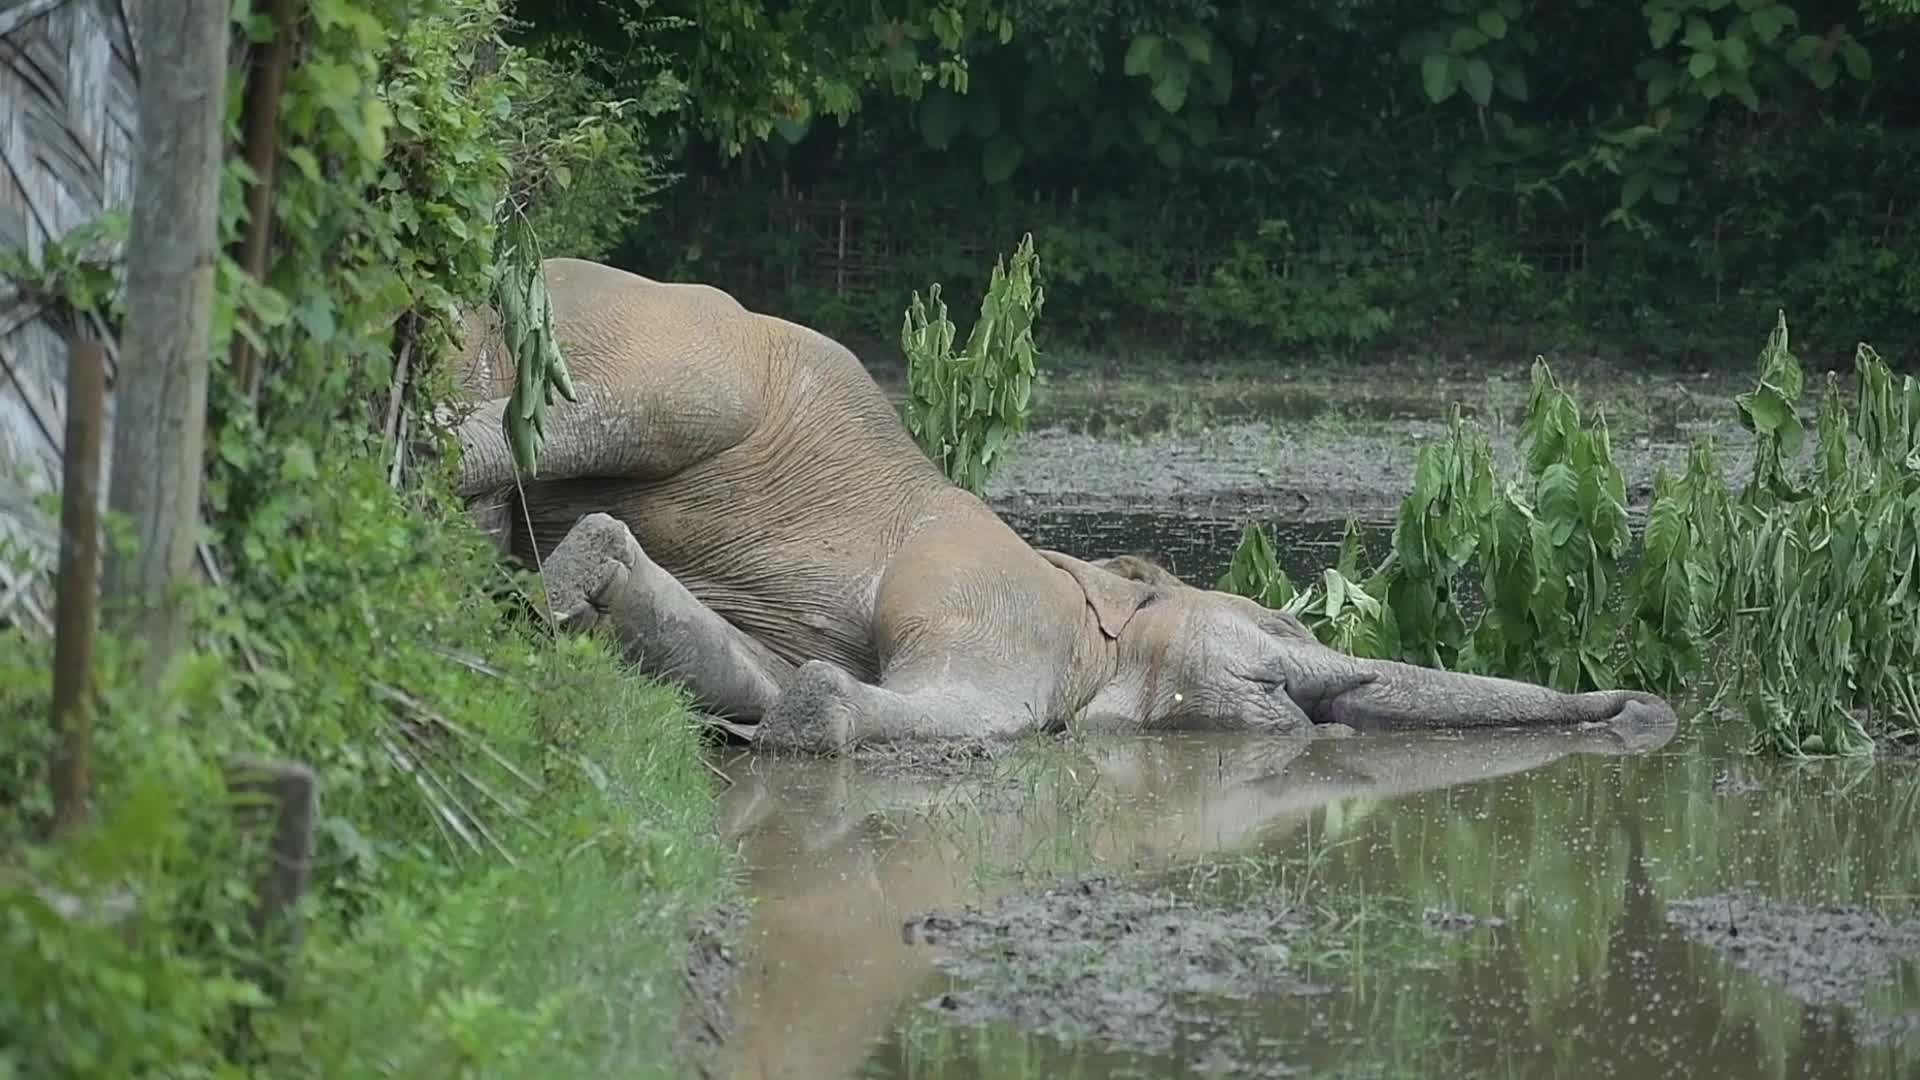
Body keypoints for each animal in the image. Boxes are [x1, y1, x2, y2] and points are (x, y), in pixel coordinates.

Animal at [449, 257, 1681, 753]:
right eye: (1277, 623)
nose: (1649, 714)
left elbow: (742, 667)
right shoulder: (999, 597)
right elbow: (963, 707)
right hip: (665, 338)